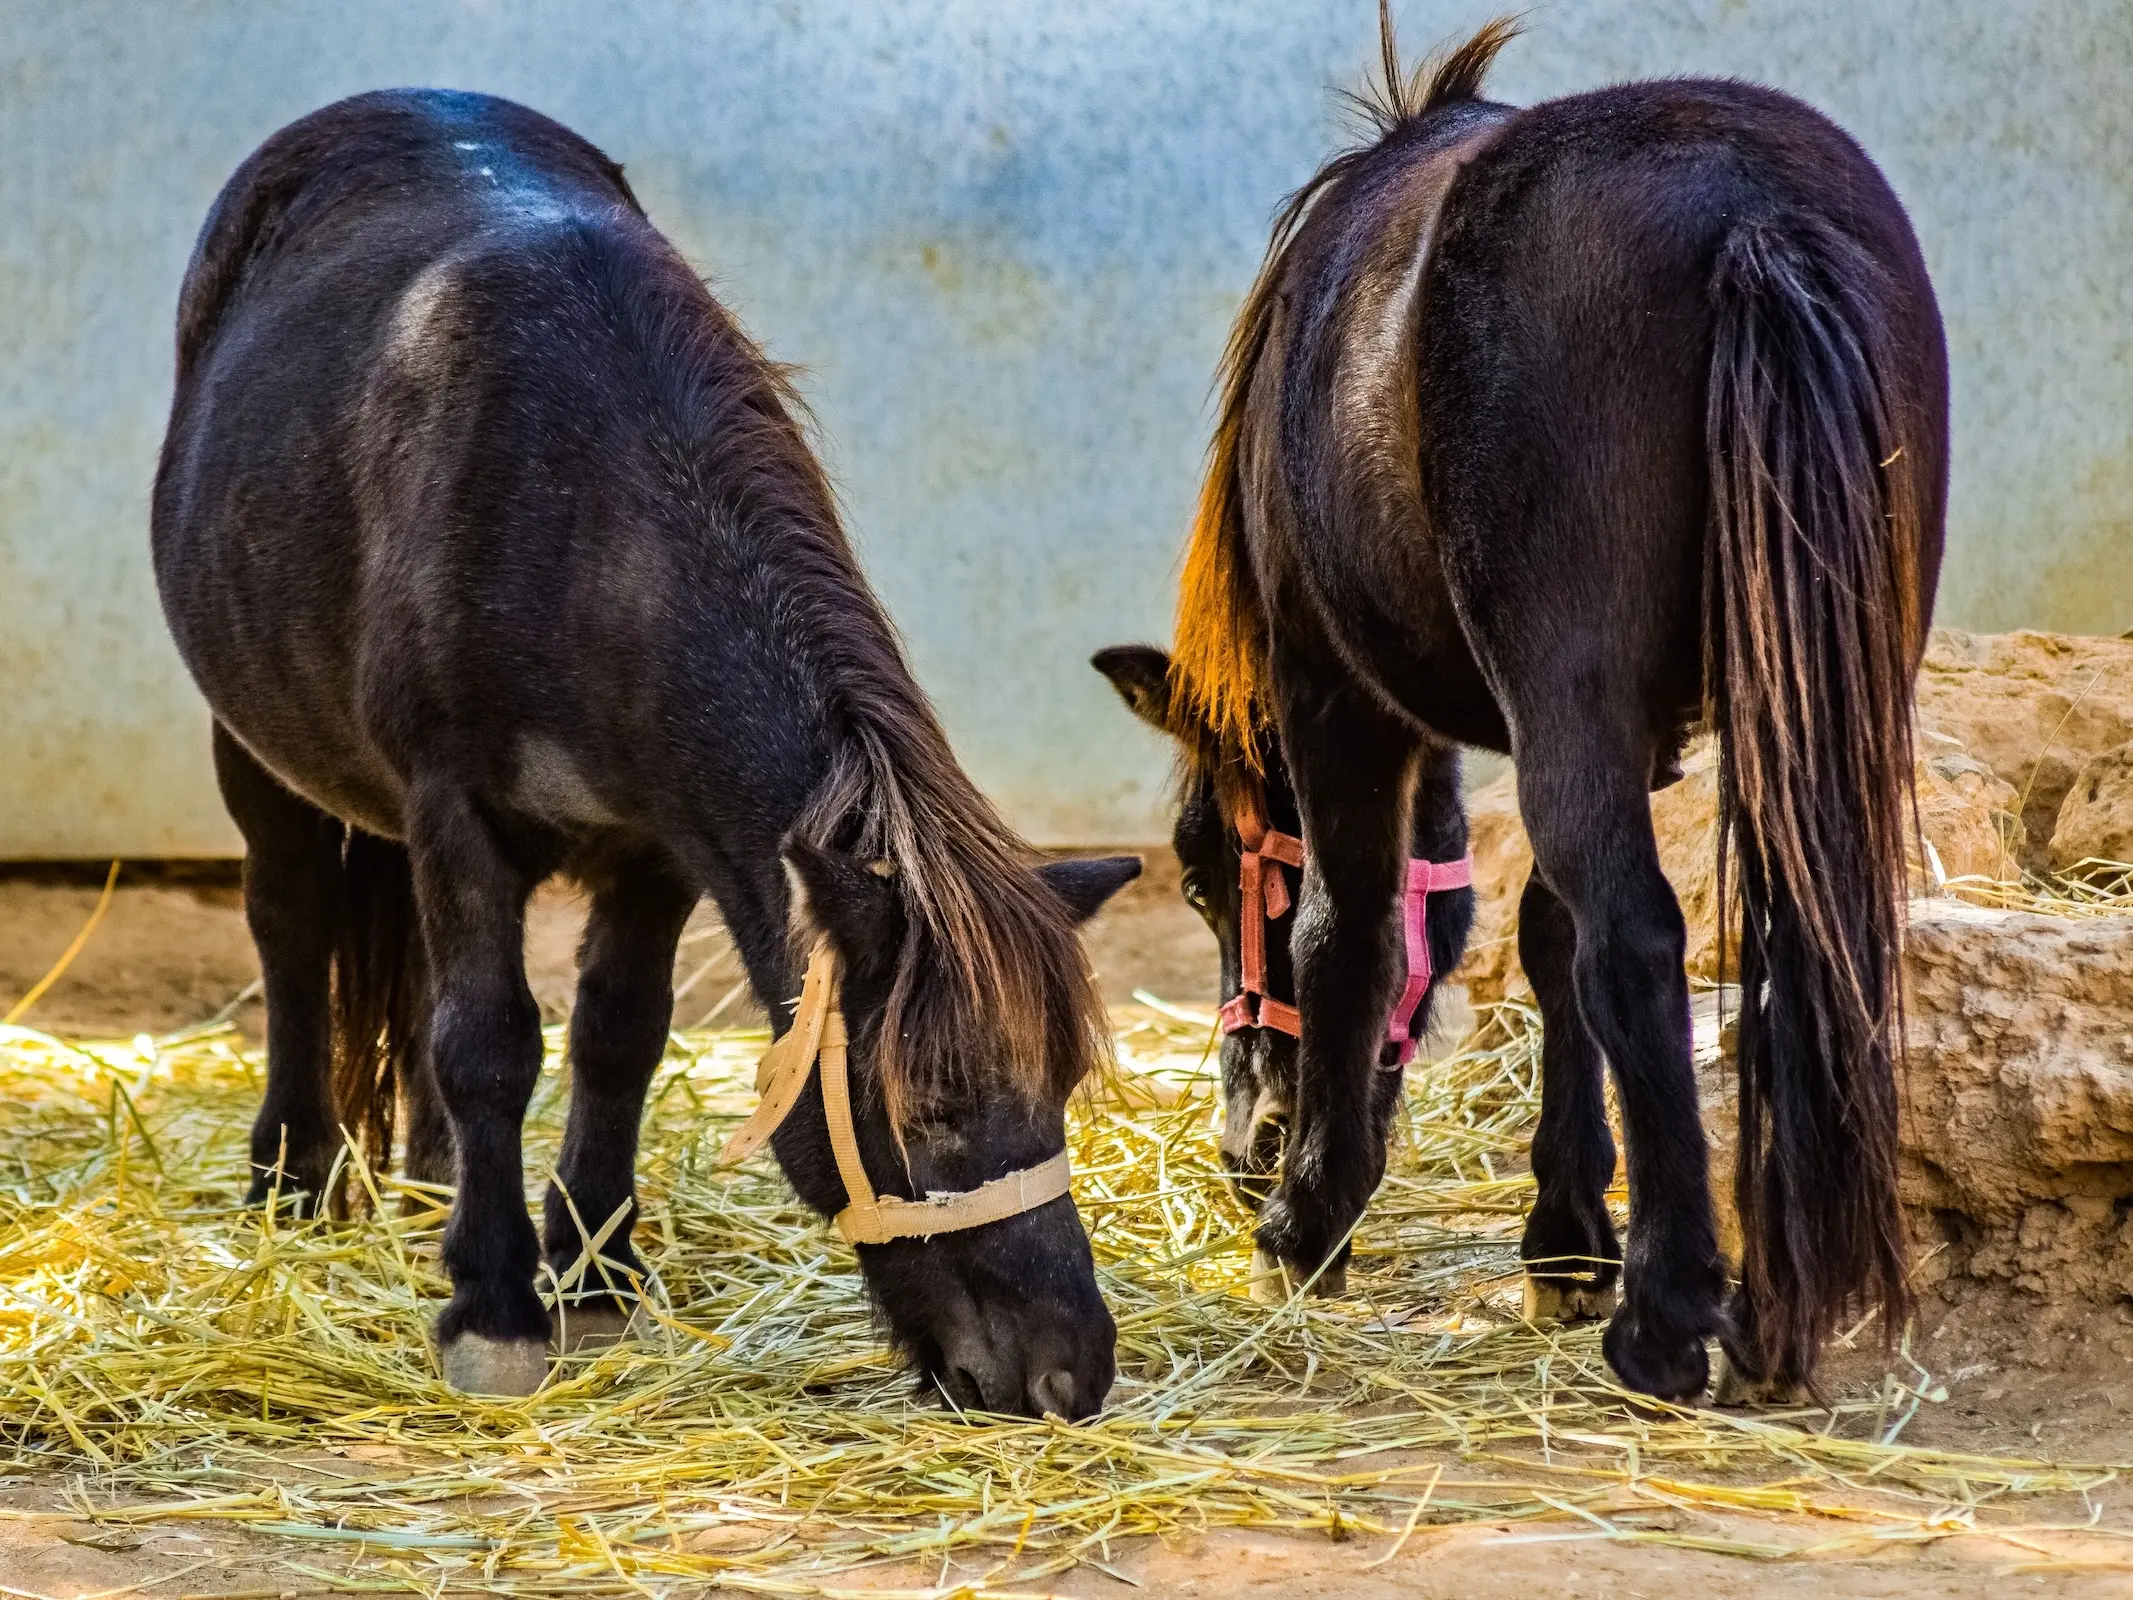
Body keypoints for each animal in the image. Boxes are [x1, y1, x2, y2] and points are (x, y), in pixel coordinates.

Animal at [1100, 15, 1953, 1399]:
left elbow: (1350, 931)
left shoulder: (1335, 693)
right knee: (1789, 943)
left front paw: (1309, 1223)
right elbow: (1548, 946)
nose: (1247, 1141)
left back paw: (1665, 1318)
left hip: (1564, 699)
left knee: (1640, 942)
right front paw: (1563, 1234)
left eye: (1198, 876)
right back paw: (1775, 1307)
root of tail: (1748, 214)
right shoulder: (1635, 738)